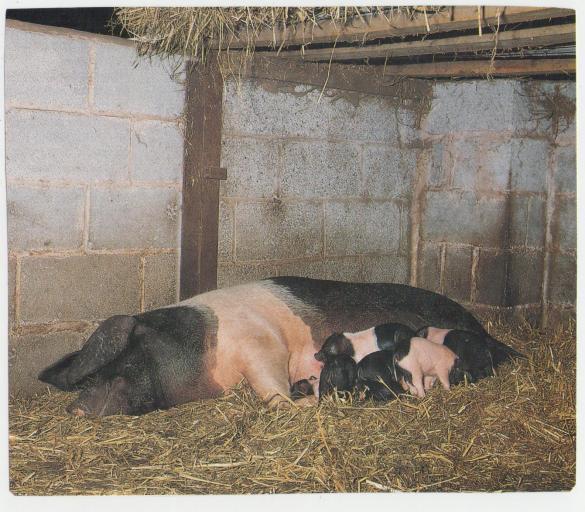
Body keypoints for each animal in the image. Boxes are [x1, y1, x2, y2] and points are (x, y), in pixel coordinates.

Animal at [39, 276, 523, 416]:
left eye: (127, 356)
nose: (76, 407)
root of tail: (481, 327)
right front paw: (307, 395)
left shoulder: (260, 345)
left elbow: (272, 392)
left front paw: (303, 400)